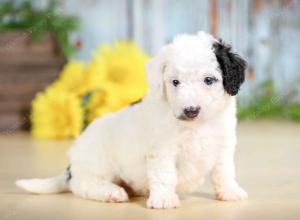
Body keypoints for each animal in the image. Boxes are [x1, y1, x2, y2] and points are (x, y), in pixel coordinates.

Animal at [15, 31, 248, 209]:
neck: (197, 126)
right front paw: (164, 199)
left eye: (209, 80)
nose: (190, 110)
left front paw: (230, 192)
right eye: (175, 82)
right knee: (83, 185)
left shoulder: (223, 145)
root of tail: (71, 168)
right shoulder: (162, 149)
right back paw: (111, 192)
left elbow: (224, 171)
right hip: (97, 162)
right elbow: (164, 174)